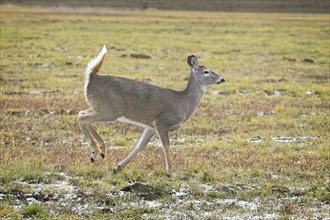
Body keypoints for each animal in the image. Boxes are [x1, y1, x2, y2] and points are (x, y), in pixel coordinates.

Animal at [78, 45, 226, 177]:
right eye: (206, 71)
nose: (222, 79)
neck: (183, 102)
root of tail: (92, 78)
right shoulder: (162, 122)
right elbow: (166, 146)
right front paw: (170, 173)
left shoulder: (150, 126)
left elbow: (140, 146)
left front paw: (118, 167)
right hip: (110, 109)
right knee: (82, 117)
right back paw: (95, 151)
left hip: (101, 108)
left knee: (83, 114)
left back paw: (101, 151)